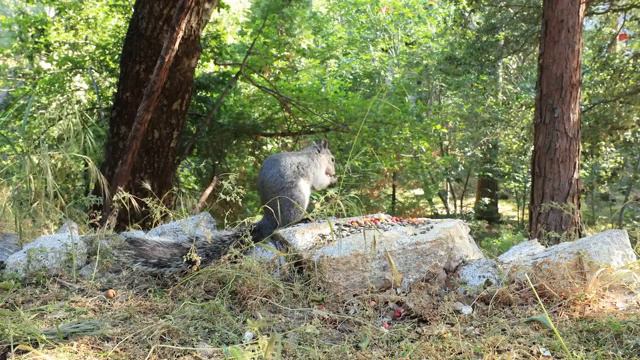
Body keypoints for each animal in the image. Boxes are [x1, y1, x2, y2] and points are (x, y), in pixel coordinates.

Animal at [118, 140, 338, 272]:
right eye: (333, 158)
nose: (335, 172)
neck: (311, 155)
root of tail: (269, 220)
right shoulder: (315, 169)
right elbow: (320, 182)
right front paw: (332, 181)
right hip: (297, 199)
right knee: (286, 224)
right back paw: (304, 218)